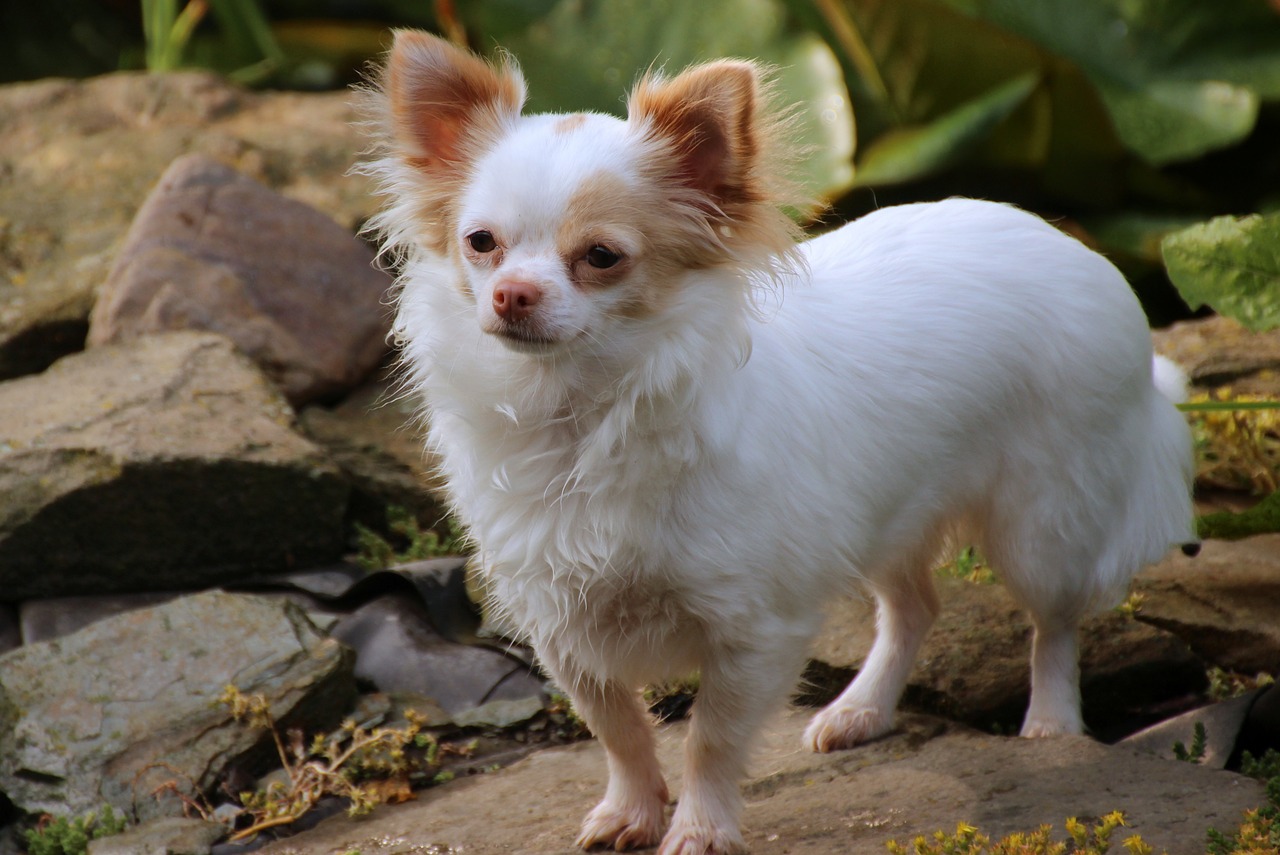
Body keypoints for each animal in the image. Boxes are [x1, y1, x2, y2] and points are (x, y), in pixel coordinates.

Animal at [363, 30, 1198, 849]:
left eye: (600, 256)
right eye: (480, 243)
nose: (512, 294)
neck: (578, 415)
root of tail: (1070, 243)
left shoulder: (752, 629)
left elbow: (709, 738)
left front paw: (700, 828)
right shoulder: (562, 625)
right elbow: (619, 727)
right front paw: (631, 811)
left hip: (1042, 525)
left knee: (1053, 623)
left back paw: (1053, 726)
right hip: (884, 512)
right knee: (915, 607)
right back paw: (863, 709)